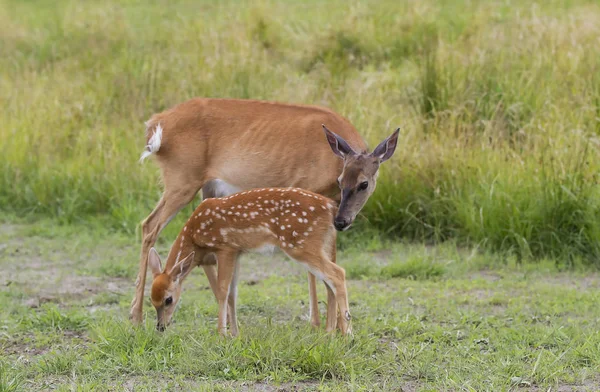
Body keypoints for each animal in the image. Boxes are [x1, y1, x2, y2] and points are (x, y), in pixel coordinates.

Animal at [147, 188, 350, 336]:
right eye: (152, 301)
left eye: (168, 299)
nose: (160, 327)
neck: (194, 233)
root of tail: (331, 207)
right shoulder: (238, 252)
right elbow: (232, 294)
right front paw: (235, 333)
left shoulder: (225, 247)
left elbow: (222, 291)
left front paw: (222, 334)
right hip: (321, 245)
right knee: (329, 282)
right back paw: (330, 332)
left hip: (301, 244)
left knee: (338, 273)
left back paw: (347, 334)